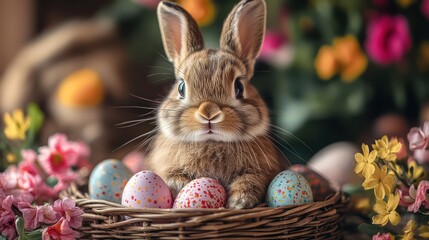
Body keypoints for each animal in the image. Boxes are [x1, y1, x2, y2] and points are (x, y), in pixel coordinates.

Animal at [149, 0, 286, 209]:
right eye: (181, 87)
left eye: (239, 87)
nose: (209, 112)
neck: (212, 143)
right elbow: (172, 177)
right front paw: (180, 187)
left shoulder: (263, 172)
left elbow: (252, 180)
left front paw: (238, 202)